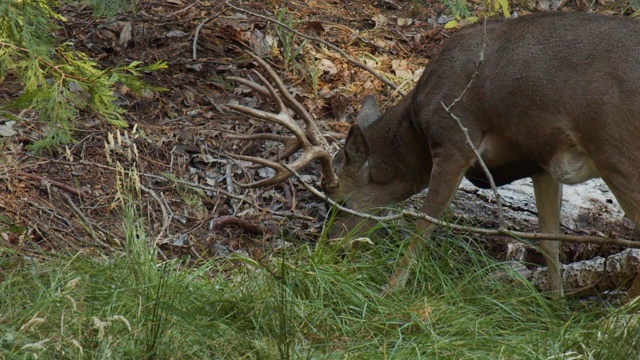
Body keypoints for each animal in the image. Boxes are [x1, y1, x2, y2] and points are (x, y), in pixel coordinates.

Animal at [225, 10, 640, 298]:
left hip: (616, 147)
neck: (416, 127)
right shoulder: (539, 160)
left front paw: (389, 291)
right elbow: (550, 241)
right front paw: (554, 310)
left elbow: (424, 227)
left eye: (339, 201)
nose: (328, 247)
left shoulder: (455, 140)